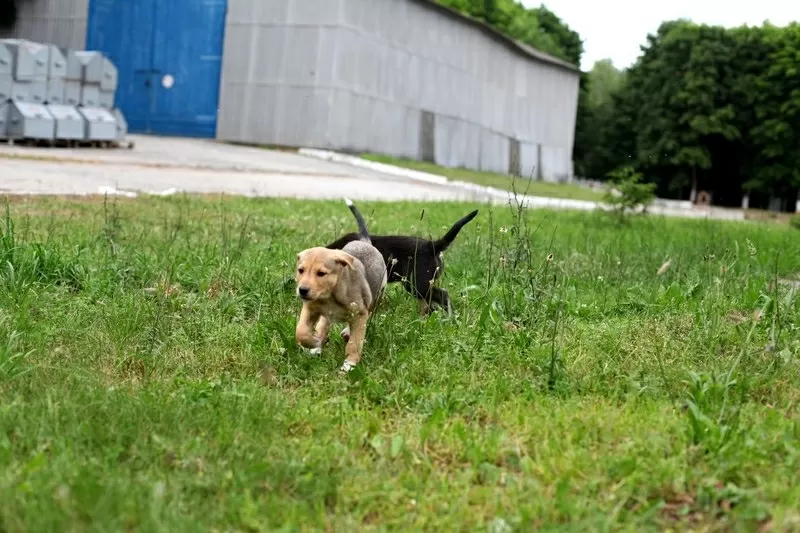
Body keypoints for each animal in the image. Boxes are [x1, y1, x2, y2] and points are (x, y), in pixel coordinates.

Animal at [298, 197, 390, 372]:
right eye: (300, 270)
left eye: (321, 273)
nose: (302, 290)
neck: (329, 296)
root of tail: (365, 242)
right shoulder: (310, 308)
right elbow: (301, 331)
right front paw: (313, 342)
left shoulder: (360, 314)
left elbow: (355, 342)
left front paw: (350, 364)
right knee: (324, 324)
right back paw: (318, 343)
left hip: (376, 298)